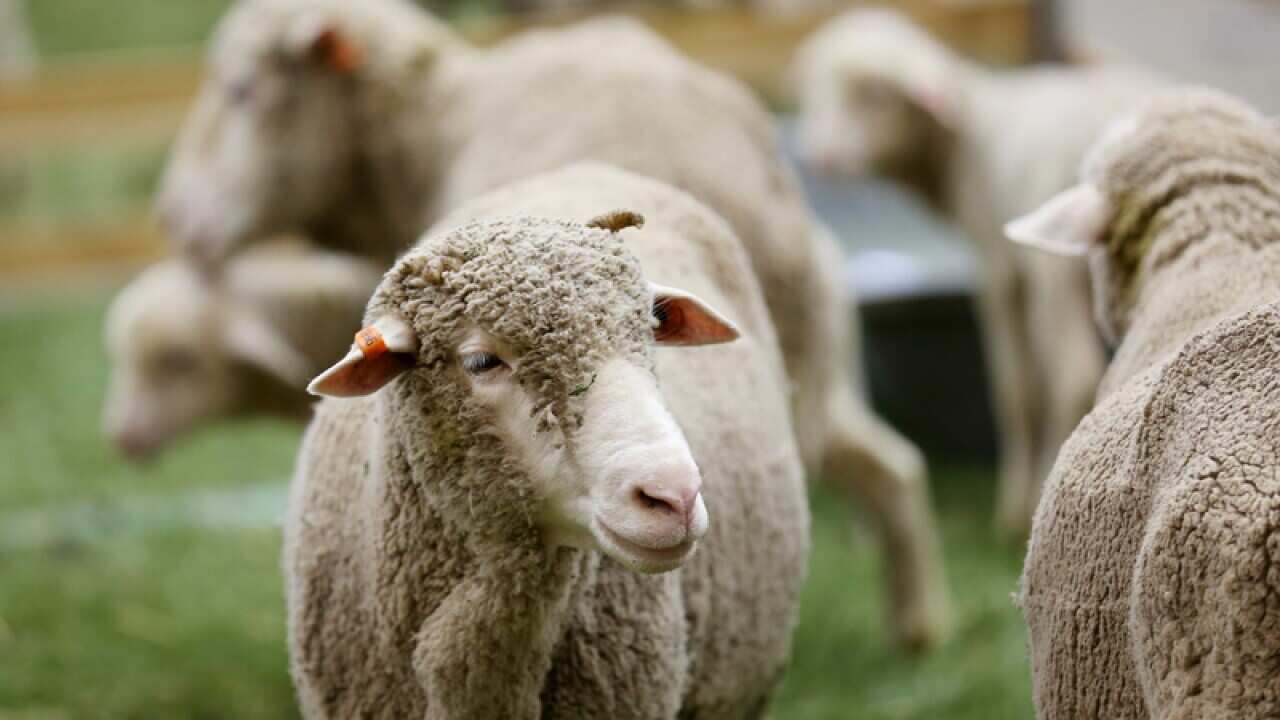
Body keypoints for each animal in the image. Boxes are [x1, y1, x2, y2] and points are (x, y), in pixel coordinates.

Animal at [161, 0, 950, 648]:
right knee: (891, 464)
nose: (177, 218)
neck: (431, 130)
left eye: (240, 91)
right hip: (798, 381)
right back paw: (916, 631)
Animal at [794, 8, 1164, 537]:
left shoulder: (1000, 263)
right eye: (814, 91)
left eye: (875, 95)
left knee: (1071, 374)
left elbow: (1015, 383)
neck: (965, 142)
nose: (819, 157)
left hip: (1056, 269)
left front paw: (1012, 505)